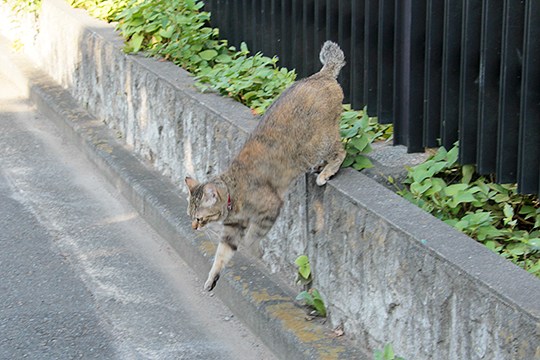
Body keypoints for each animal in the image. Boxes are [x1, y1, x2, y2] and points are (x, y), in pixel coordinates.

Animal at [186, 40, 346, 292]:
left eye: (200, 218)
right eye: (190, 215)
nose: (194, 227)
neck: (234, 194)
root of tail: (322, 75)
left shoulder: (270, 206)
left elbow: (255, 235)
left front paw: (253, 248)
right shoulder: (231, 231)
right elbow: (222, 254)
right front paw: (212, 277)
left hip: (318, 144)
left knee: (341, 150)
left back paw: (327, 172)